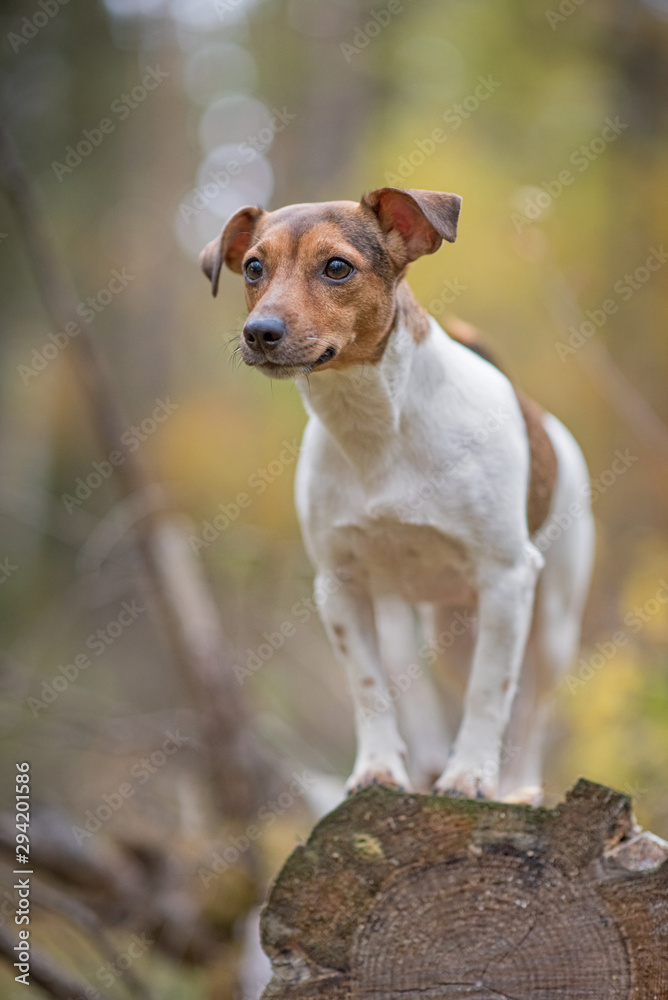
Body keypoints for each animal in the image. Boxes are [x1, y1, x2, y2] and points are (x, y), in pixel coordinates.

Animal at [200, 184, 596, 800]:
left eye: (337, 267)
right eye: (253, 268)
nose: (259, 332)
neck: (376, 431)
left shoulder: (507, 577)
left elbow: (492, 692)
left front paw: (468, 777)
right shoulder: (340, 586)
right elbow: (369, 687)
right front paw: (379, 770)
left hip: (550, 620)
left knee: (531, 707)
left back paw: (516, 786)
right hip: (435, 631)